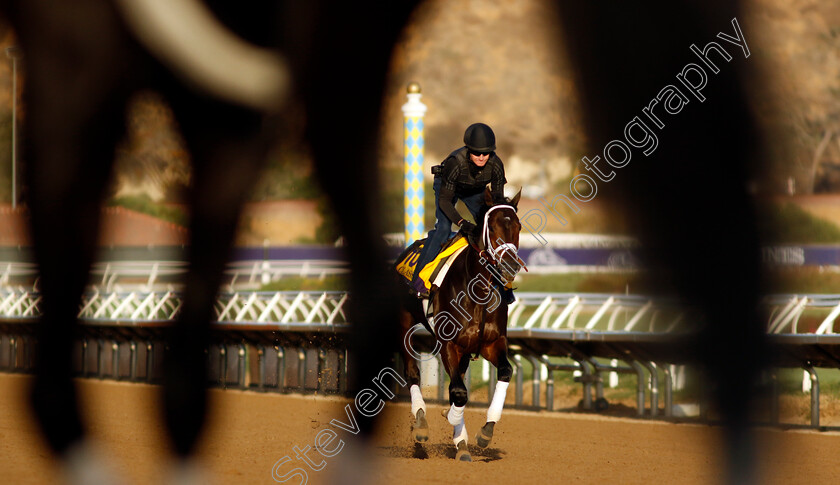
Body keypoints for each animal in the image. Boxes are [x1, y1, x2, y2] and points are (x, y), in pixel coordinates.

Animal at [398, 185, 520, 462]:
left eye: (518, 226)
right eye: (492, 228)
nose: (511, 264)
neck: (479, 291)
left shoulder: (491, 343)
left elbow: (504, 372)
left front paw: (483, 432)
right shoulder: (449, 344)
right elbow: (459, 392)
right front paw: (451, 418)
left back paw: (460, 443)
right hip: (405, 325)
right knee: (412, 373)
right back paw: (421, 427)